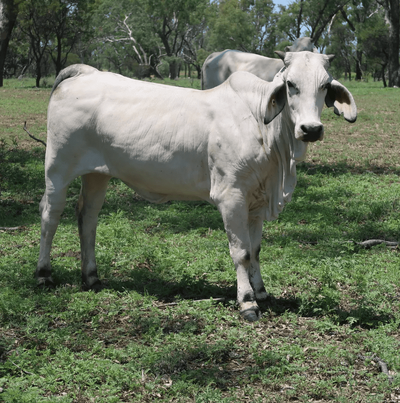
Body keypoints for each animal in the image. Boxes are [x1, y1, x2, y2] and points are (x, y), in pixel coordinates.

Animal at [36, 51, 356, 322]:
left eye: (325, 85)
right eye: (290, 84)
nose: (311, 129)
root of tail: (86, 73)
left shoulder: (256, 201)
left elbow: (256, 250)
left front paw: (262, 291)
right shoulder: (232, 197)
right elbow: (241, 252)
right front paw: (247, 302)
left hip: (96, 175)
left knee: (88, 218)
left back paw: (91, 276)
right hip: (57, 168)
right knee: (50, 215)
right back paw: (43, 274)